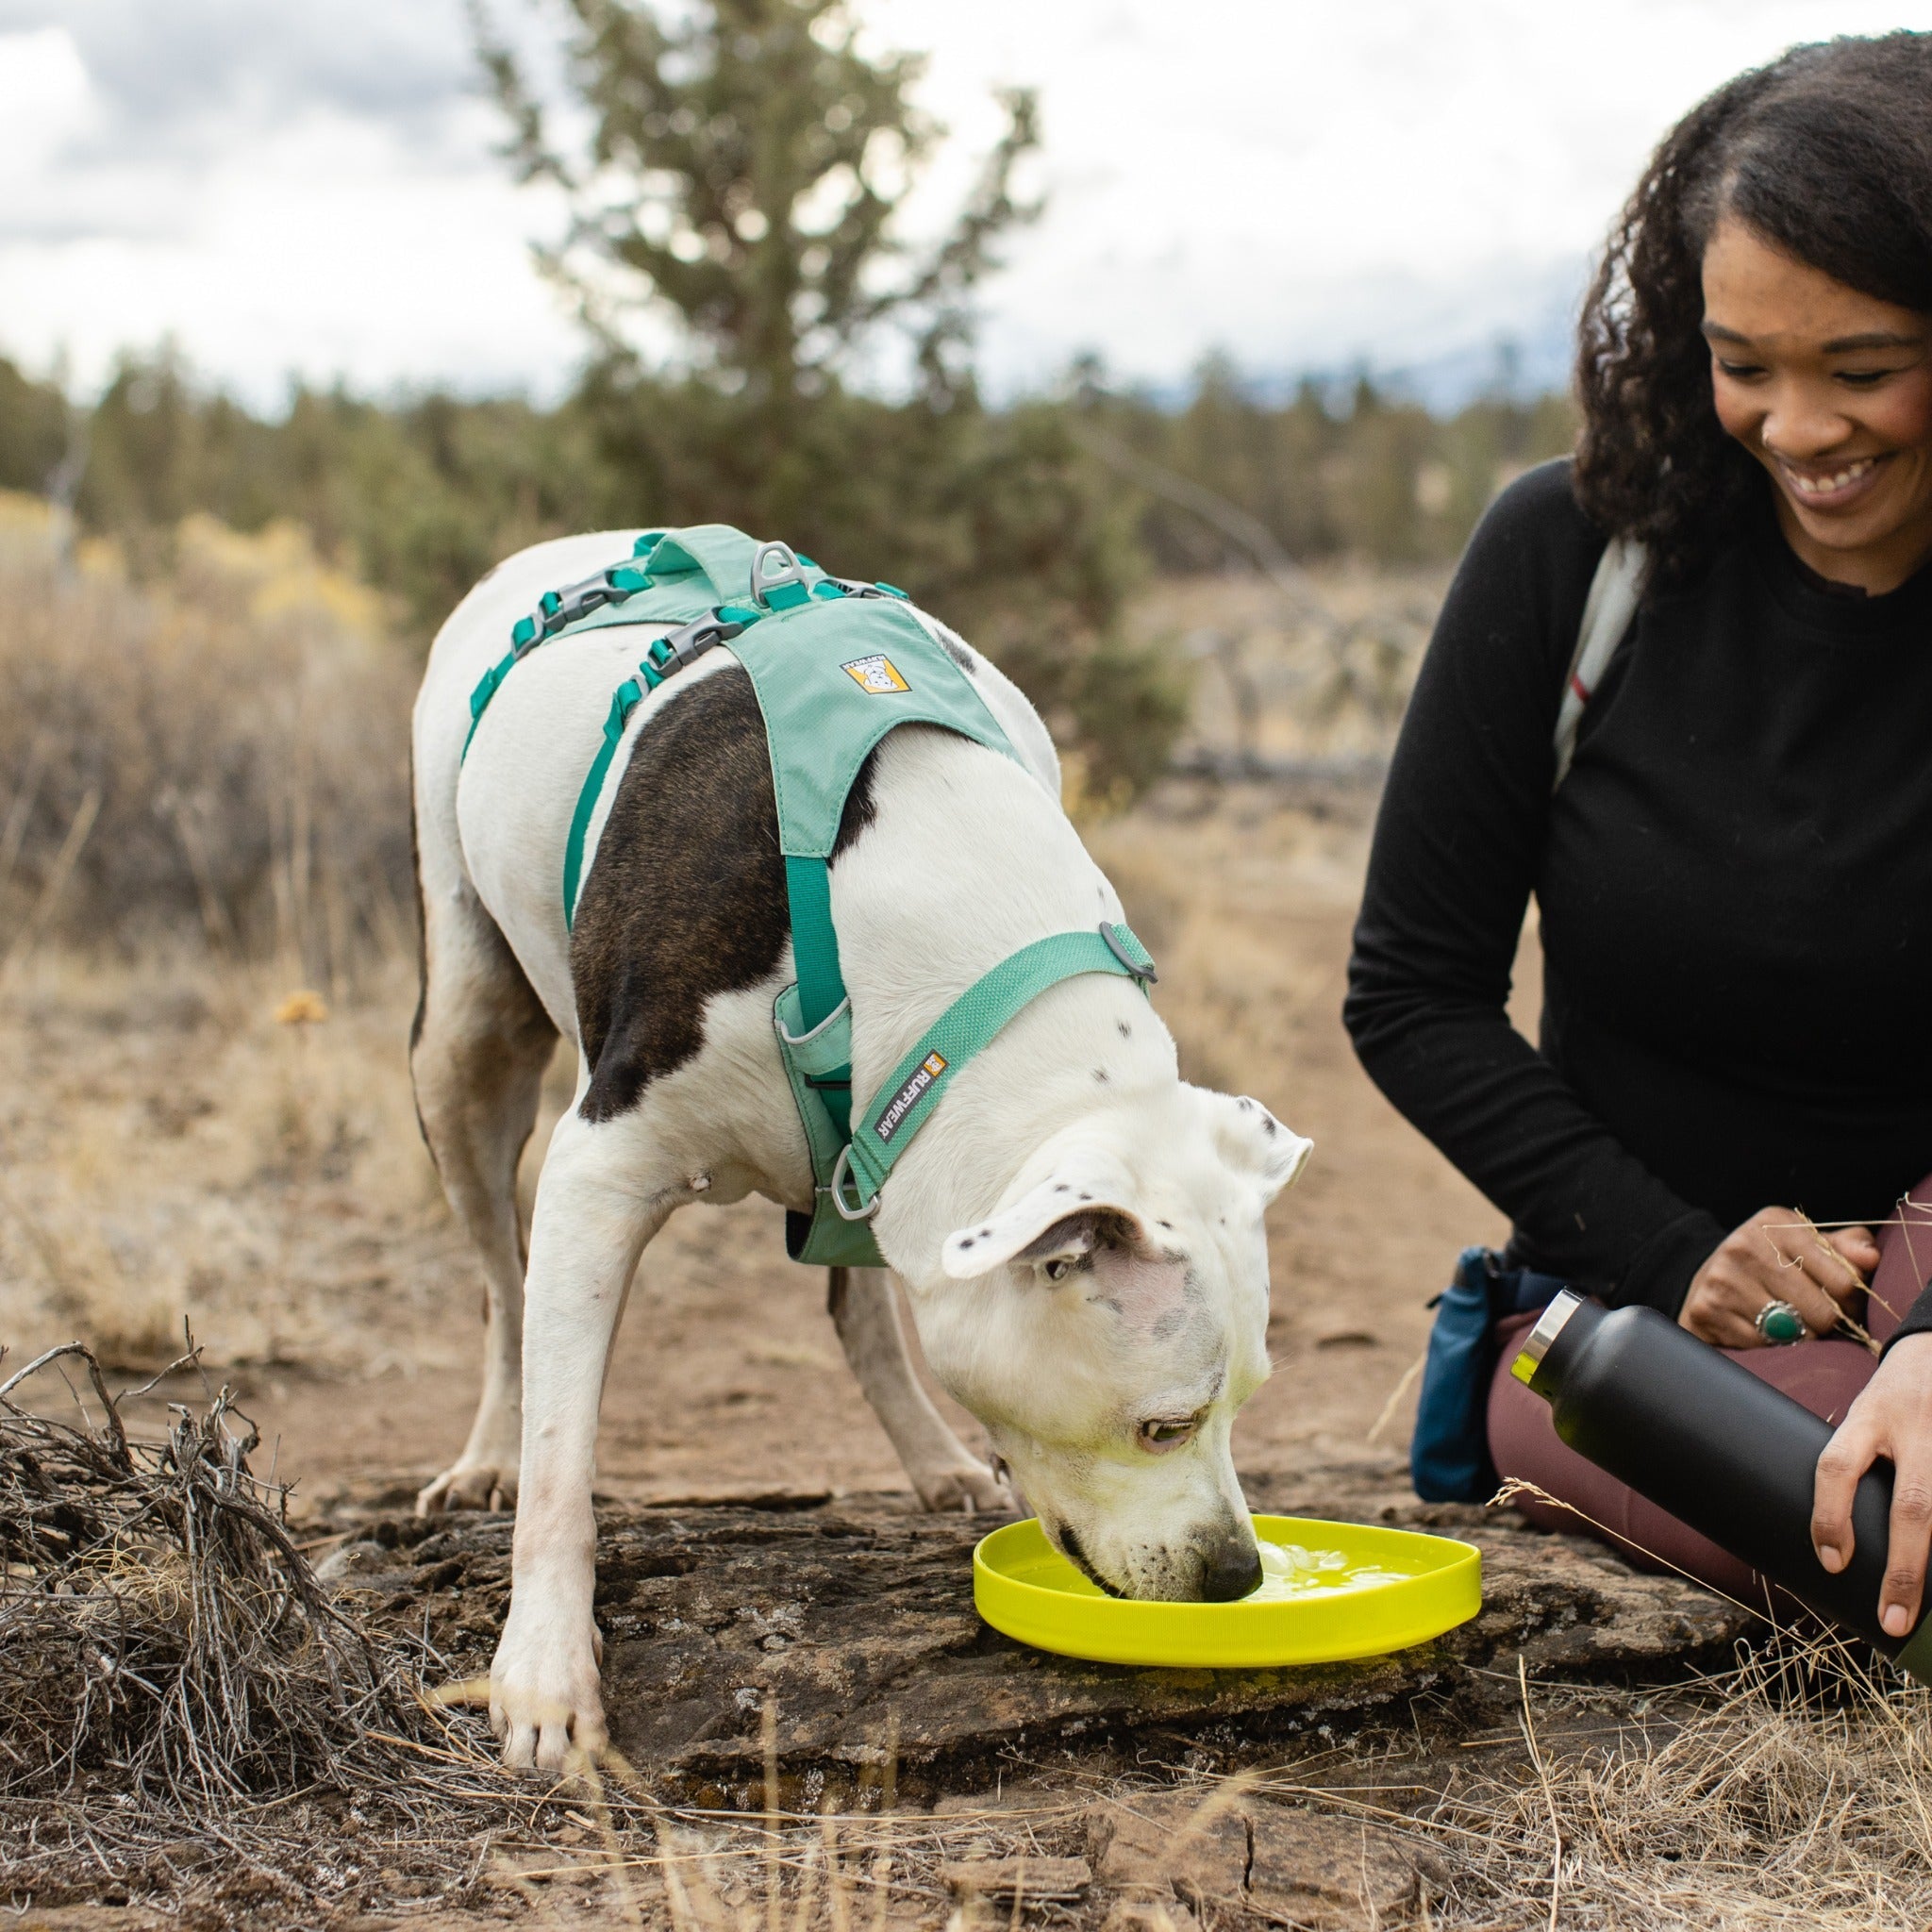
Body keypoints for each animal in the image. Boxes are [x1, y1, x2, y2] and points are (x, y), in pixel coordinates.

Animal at [408, 529, 1313, 1769]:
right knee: (502, 1287)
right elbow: (563, 1460)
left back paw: (930, 1456)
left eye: (1249, 1401)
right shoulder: (600, 1169)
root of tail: (568, 547)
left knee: (858, 1304)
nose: (1234, 1573)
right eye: (1161, 1423)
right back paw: (486, 1454)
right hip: (461, 1038)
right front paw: (544, 1668)